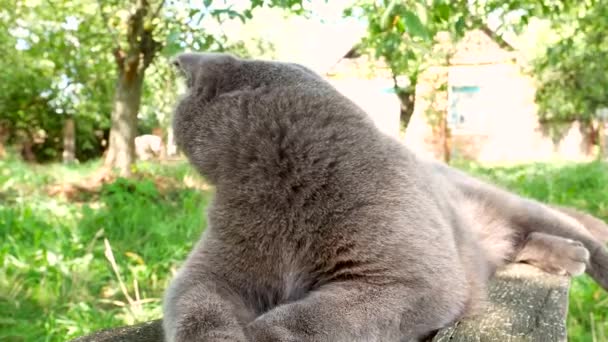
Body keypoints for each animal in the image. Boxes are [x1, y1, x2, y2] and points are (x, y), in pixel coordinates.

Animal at [163, 52, 608, 342]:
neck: (280, 188)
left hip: (514, 205)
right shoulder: (206, 273)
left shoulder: (410, 279)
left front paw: (263, 334)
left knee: (575, 234)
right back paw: (564, 255)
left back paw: (582, 254)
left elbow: (314, 316)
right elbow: (196, 307)